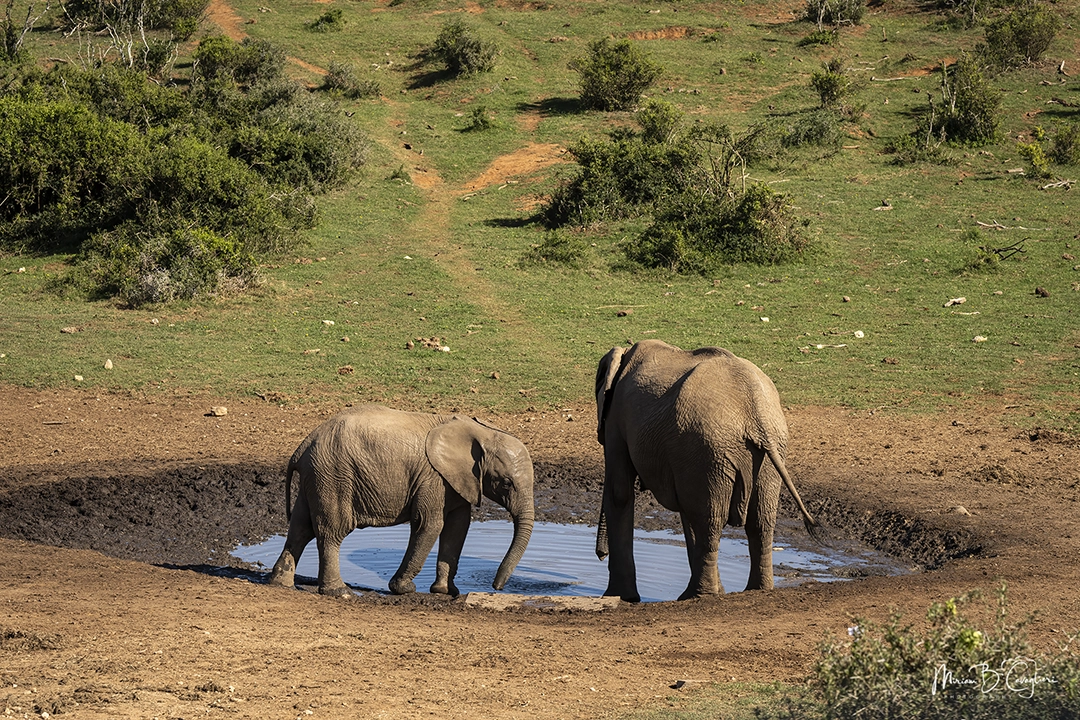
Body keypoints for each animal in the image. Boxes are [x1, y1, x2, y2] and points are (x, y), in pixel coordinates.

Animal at [267, 404, 535, 597]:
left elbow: (457, 528)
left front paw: (446, 592)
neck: (482, 432)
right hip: (333, 475)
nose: (496, 587)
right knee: (332, 531)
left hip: (316, 477)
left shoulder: (456, 481)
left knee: (301, 528)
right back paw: (340, 592)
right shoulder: (433, 478)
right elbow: (430, 525)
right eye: (506, 483)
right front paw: (404, 589)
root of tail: (301, 448)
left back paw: (280, 583)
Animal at [594, 339, 820, 602]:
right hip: (755, 454)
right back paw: (749, 590)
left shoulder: (617, 417)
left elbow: (619, 492)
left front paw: (618, 597)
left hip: (708, 448)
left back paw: (698, 595)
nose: (600, 555)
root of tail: (755, 414)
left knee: (710, 520)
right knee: (756, 521)